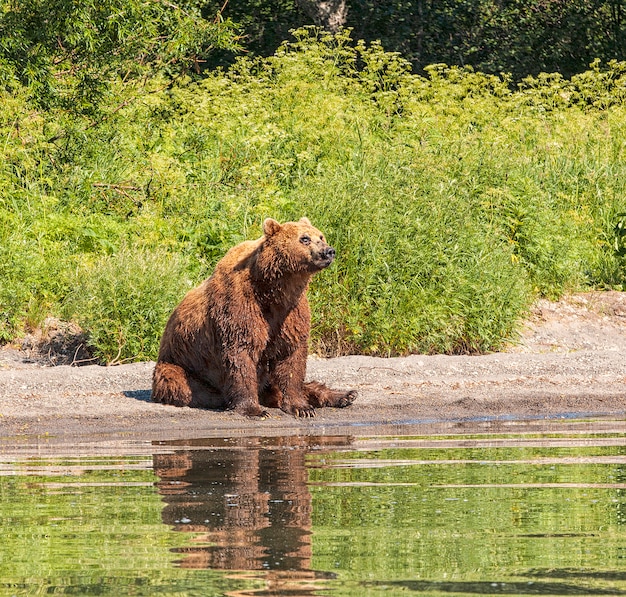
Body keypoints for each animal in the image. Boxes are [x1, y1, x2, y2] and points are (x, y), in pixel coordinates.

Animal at [151, 217, 356, 416]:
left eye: (321, 236)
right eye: (304, 238)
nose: (329, 251)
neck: (274, 290)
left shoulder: (292, 312)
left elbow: (291, 356)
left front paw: (301, 407)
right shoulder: (239, 304)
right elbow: (241, 353)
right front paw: (254, 410)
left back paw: (344, 395)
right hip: (181, 365)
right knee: (178, 383)